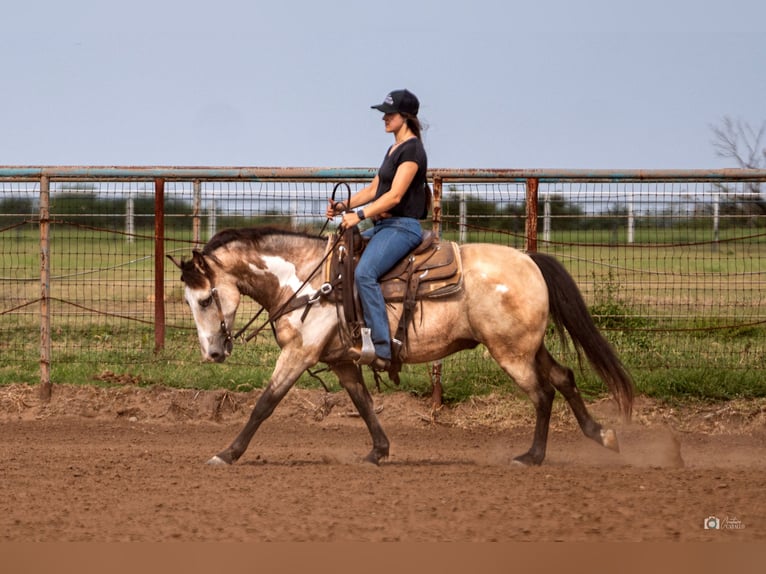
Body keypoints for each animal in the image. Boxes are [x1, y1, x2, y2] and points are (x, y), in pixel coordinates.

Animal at [171, 225, 632, 468]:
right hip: (526, 347)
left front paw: (227, 453)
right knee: (564, 378)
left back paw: (532, 456)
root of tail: (529, 259)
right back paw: (602, 435)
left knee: (543, 393)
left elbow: (265, 403)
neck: (308, 281)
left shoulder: (299, 354)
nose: (213, 353)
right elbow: (363, 404)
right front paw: (378, 451)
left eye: (206, 299)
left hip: (511, 353)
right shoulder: (341, 362)